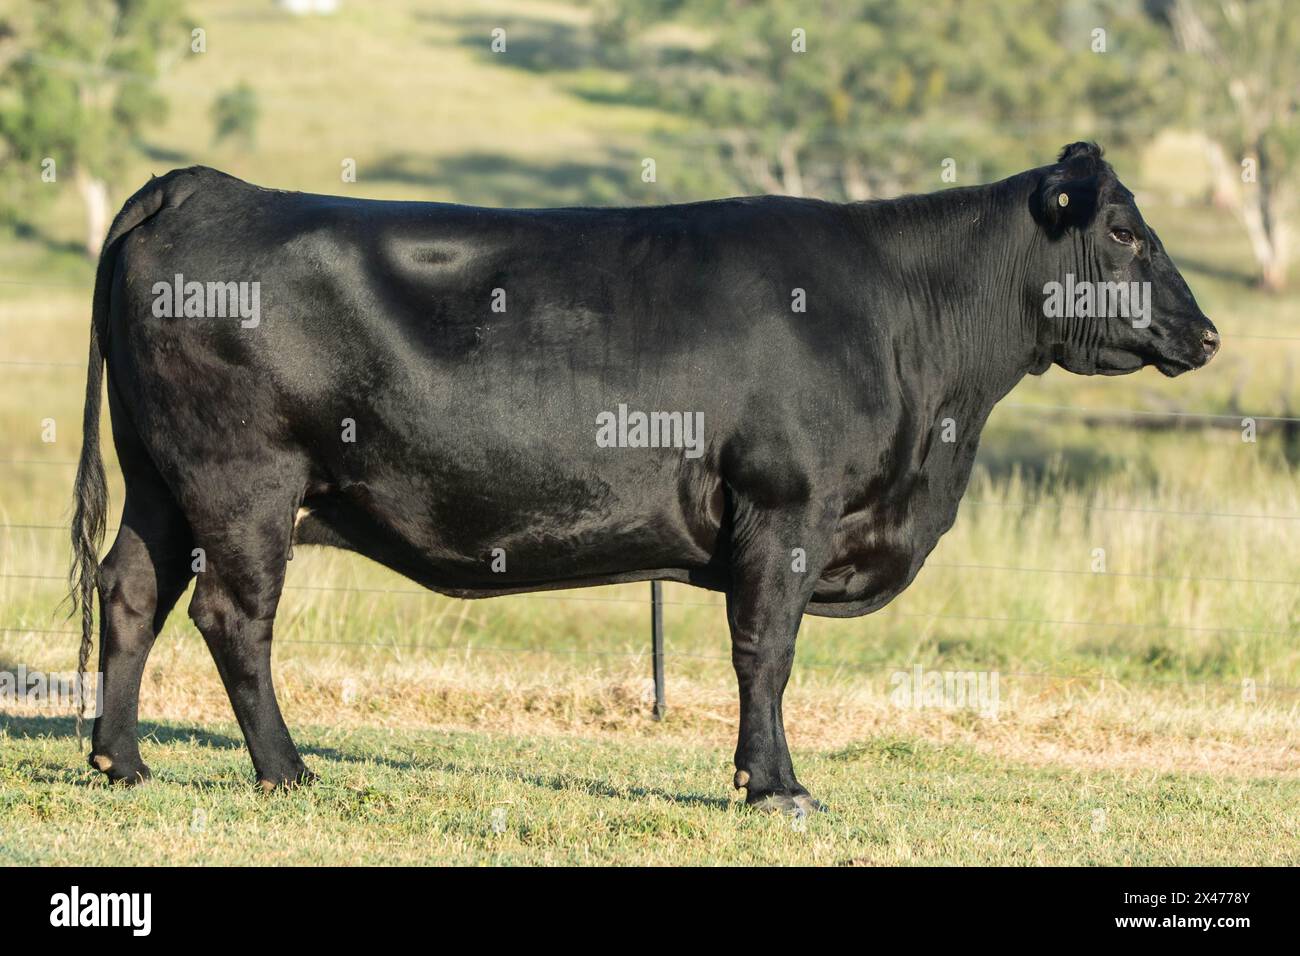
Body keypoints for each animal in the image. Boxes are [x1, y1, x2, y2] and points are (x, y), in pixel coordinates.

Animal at [73, 145, 1216, 811]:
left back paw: (120, 760)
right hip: (244, 480)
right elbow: (766, 653)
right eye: (1124, 230)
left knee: (129, 587)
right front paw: (775, 787)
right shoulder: (786, 507)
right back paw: (287, 770)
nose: (1205, 333)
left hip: (162, 481)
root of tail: (200, 184)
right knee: (231, 614)